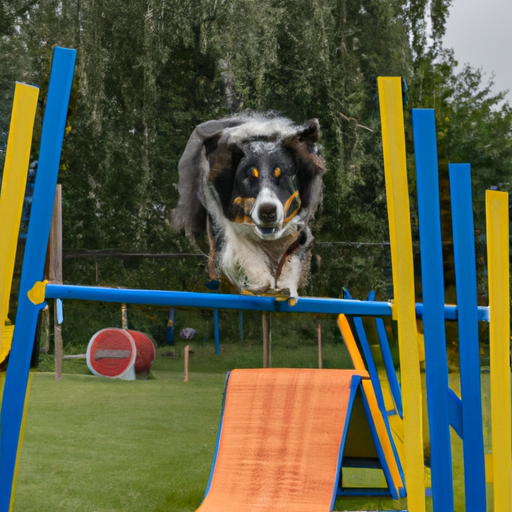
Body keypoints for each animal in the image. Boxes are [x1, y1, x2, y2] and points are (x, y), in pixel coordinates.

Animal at [171, 112, 324, 304]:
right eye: (249, 176)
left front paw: (285, 288)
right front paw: (262, 285)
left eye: (282, 174)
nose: (268, 211)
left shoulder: (298, 231)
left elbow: (293, 258)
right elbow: (246, 254)